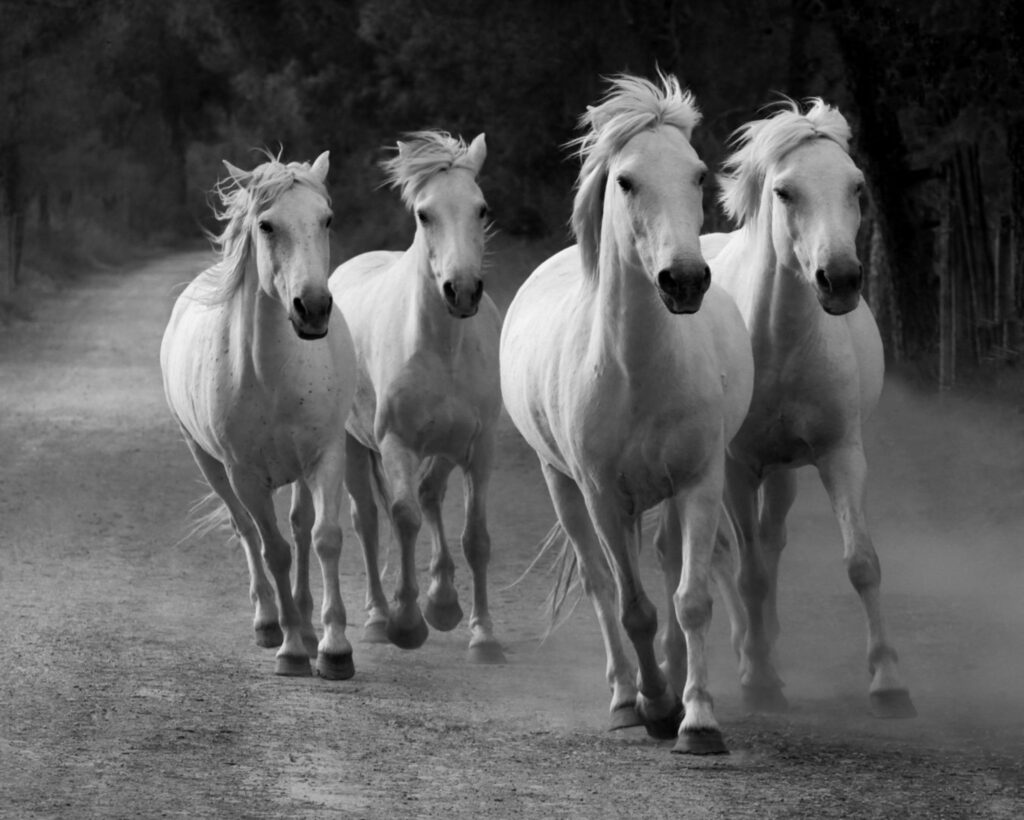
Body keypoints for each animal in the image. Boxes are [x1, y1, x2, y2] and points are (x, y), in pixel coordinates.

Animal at [160, 151, 358, 680]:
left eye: (326, 219)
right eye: (267, 225)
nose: (313, 308)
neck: (272, 376)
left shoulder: (326, 457)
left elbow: (324, 538)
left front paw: (334, 648)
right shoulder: (245, 476)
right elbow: (274, 551)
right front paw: (290, 649)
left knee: (302, 528)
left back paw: (308, 627)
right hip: (210, 465)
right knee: (247, 532)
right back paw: (271, 623)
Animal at [329, 131, 505, 663]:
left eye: (481, 209)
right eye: (425, 214)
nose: (461, 291)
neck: (441, 347)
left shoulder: (477, 447)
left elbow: (476, 538)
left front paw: (481, 634)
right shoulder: (397, 443)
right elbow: (402, 518)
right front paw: (406, 623)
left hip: (444, 448)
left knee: (428, 495)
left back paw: (442, 601)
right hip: (352, 445)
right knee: (368, 520)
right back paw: (377, 617)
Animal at [500, 74, 754, 754]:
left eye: (697, 175)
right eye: (626, 181)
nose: (684, 281)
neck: (636, 373)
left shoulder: (700, 482)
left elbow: (689, 599)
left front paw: (698, 719)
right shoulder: (603, 495)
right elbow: (631, 605)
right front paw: (656, 706)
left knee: (667, 566)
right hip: (561, 484)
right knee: (598, 581)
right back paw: (624, 697)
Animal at [655, 99, 916, 718]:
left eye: (856, 186)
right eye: (785, 191)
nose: (840, 279)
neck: (779, 345)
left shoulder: (841, 454)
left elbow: (861, 562)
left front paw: (888, 681)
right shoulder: (735, 468)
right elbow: (747, 573)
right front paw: (757, 678)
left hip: (782, 472)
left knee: (770, 543)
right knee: (712, 554)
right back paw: (724, 656)